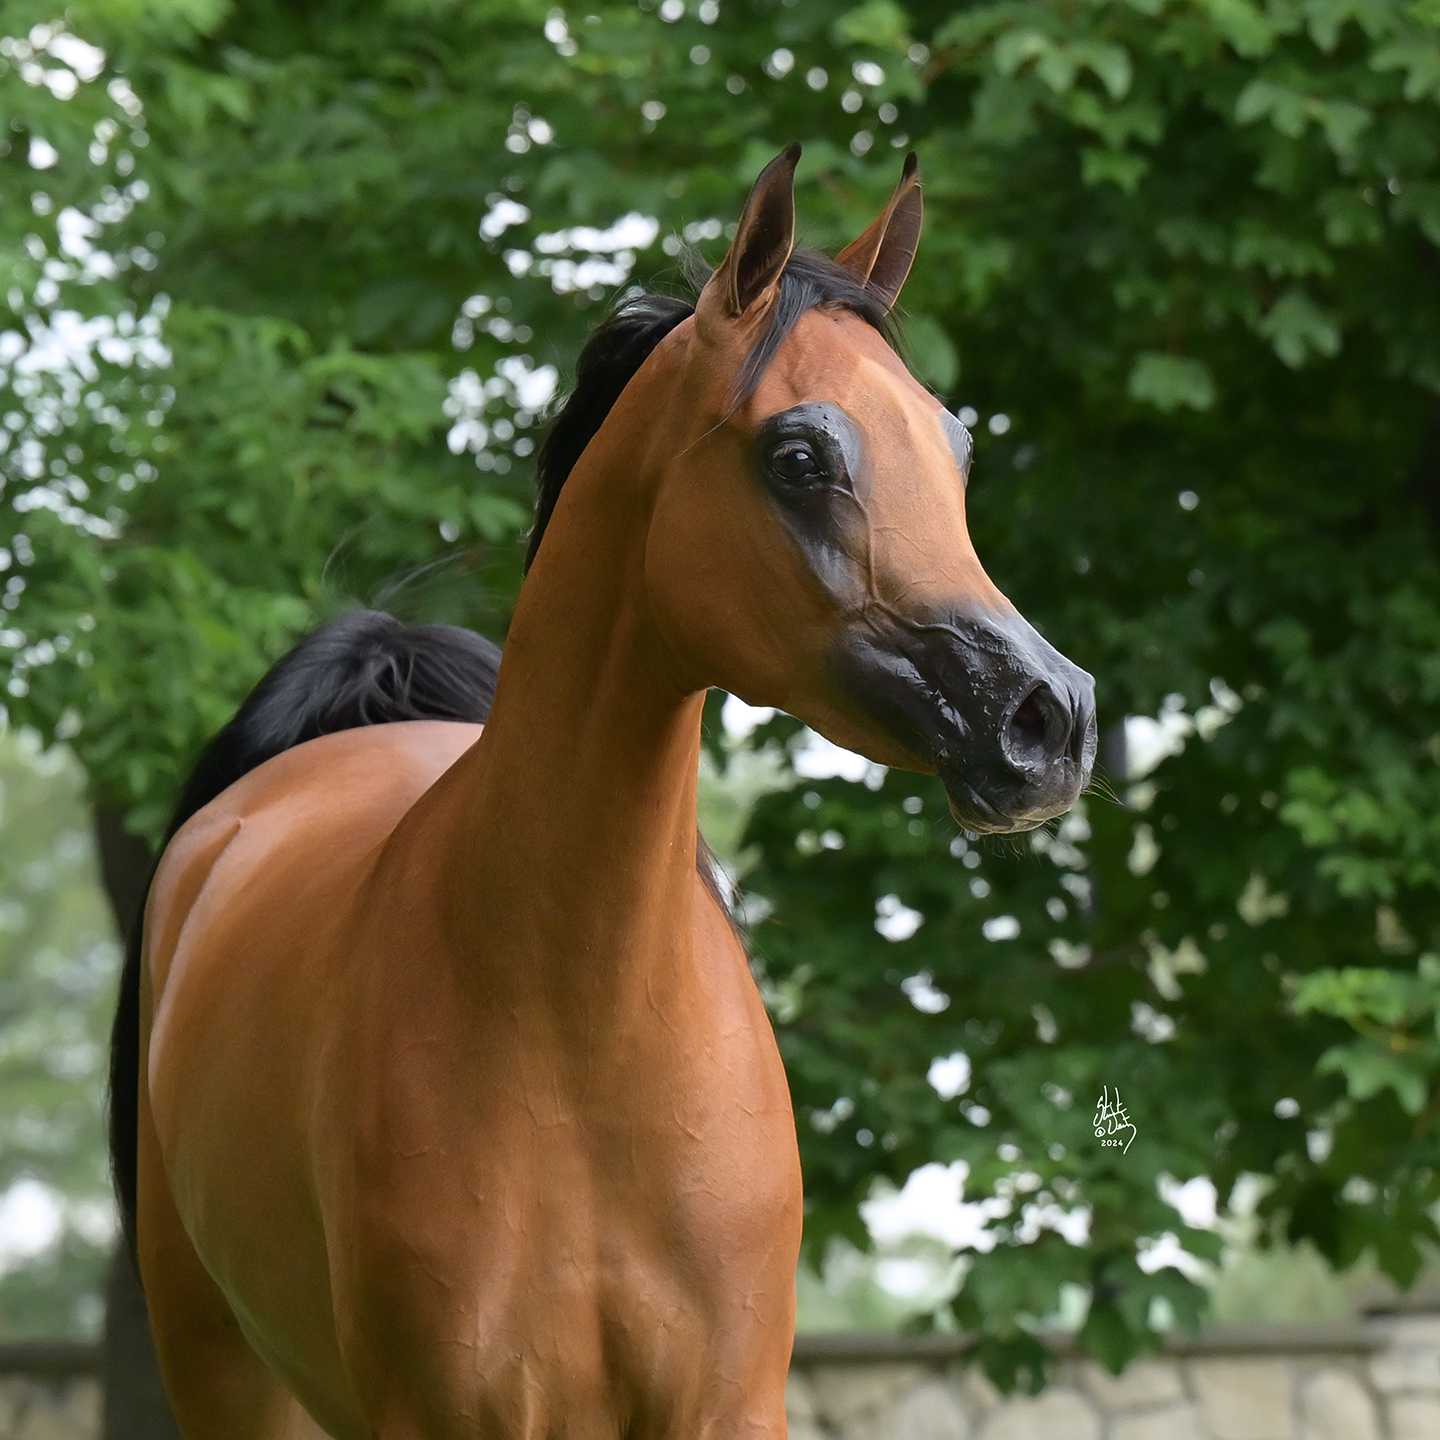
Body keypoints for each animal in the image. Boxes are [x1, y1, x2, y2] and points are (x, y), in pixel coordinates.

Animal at [109, 146, 1096, 1440]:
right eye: (799, 459)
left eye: (956, 448)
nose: (1051, 718)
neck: (582, 1046)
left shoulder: (730, 1409)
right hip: (227, 1376)